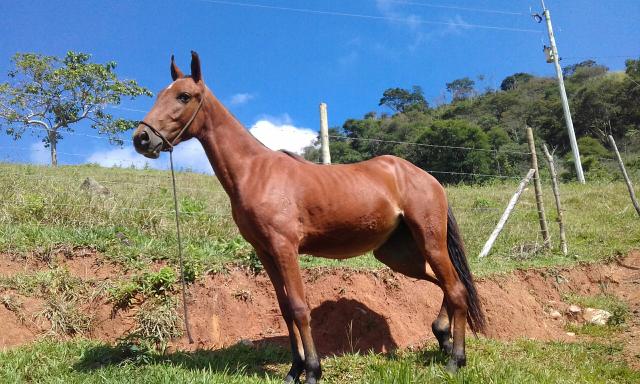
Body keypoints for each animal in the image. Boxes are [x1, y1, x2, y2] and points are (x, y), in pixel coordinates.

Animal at [134, 51, 484, 384]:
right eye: (160, 94)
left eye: (183, 96)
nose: (142, 138)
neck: (255, 172)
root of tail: (428, 178)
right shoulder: (265, 252)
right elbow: (285, 308)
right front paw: (294, 370)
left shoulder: (285, 248)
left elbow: (300, 308)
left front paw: (314, 371)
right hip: (398, 255)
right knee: (445, 283)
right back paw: (443, 338)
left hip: (429, 241)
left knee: (456, 289)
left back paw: (456, 360)